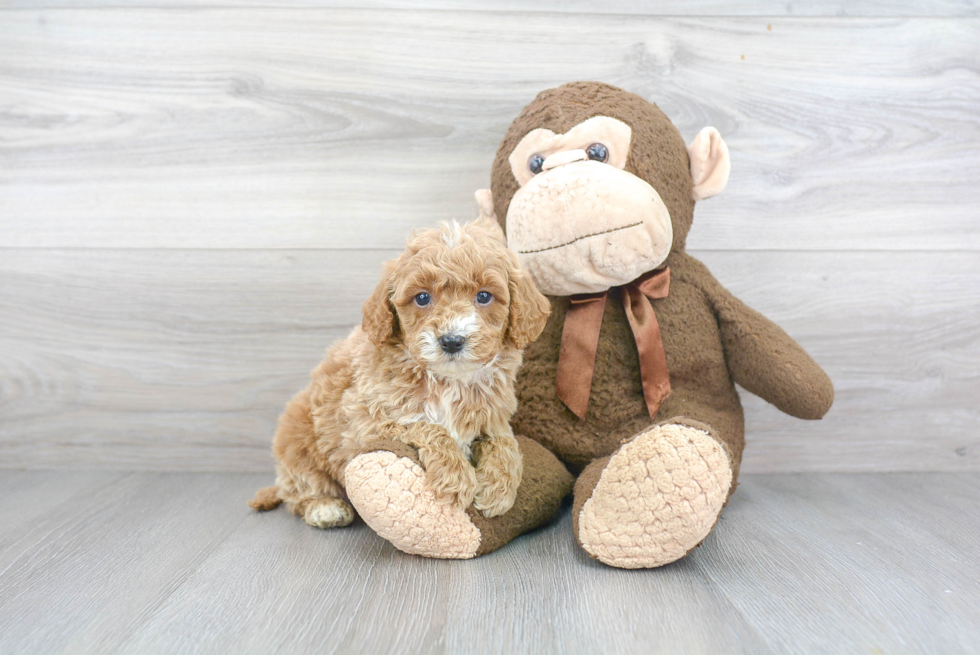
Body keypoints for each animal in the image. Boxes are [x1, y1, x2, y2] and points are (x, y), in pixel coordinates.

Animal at [249, 218, 552, 532]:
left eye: (483, 296)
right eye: (422, 298)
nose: (452, 340)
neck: (448, 380)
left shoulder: (493, 415)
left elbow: (505, 442)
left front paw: (499, 489)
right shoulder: (366, 421)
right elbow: (428, 426)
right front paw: (456, 477)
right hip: (297, 438)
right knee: (299, 489)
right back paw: (324, 508)